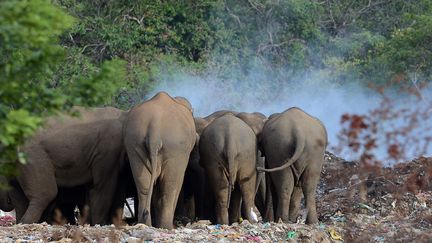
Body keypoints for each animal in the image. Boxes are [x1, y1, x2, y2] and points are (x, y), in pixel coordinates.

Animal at [122, 91, 195, 230]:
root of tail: (154, 126)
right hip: (174, 148)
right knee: (171, 185)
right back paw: (167, 226)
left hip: (133, 142)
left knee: (143, 185)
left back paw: (145, 223)